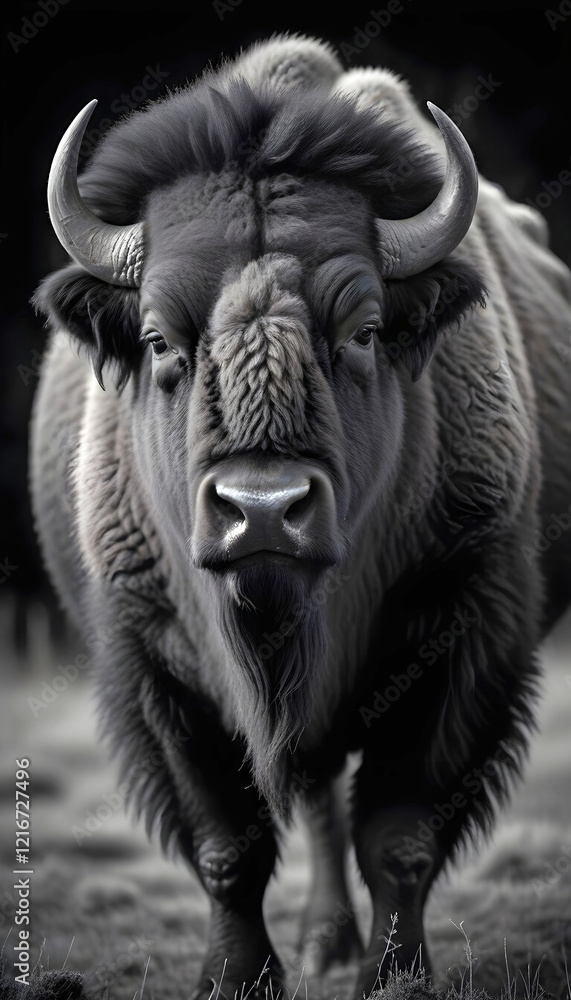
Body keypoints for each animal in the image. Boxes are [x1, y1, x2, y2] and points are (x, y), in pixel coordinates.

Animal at [30, 34, 571, 998]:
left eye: (361, 330)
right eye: (160, 338)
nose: (262, 512)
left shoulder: (457, 630)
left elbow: (398, 835)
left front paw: (397, 978)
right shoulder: (154, 662)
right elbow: (226, 847)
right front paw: (233, 978)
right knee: (312, 797)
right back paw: (322, 942)